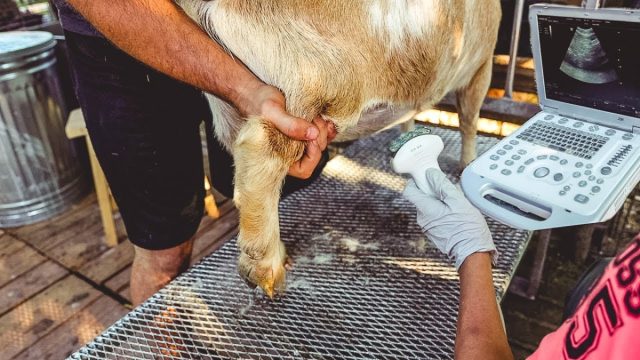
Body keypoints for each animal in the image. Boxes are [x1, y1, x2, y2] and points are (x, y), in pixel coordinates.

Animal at [174, 0, 500, 296]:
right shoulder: (482, 64)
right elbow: (469, 118)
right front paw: (467, 163)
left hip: (232, 97)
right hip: (308, 83)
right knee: (262, 147)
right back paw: (265, 269)